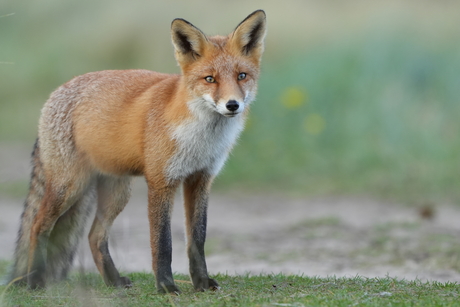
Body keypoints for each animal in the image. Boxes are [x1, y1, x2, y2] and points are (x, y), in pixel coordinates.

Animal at [8, 10, 266, 294]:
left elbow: (197, 240)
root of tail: (55, 93)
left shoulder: (200, 179)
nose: (233, 105)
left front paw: (201, 283)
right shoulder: (161, 181)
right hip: (70, 186)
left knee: (94, 236)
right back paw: (35, 280)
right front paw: (166, 286)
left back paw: (113, 281)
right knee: (38, 225)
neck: (201, 139)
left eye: (241, 76)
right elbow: (163, 243)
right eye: (210, 79)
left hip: (118, 192)